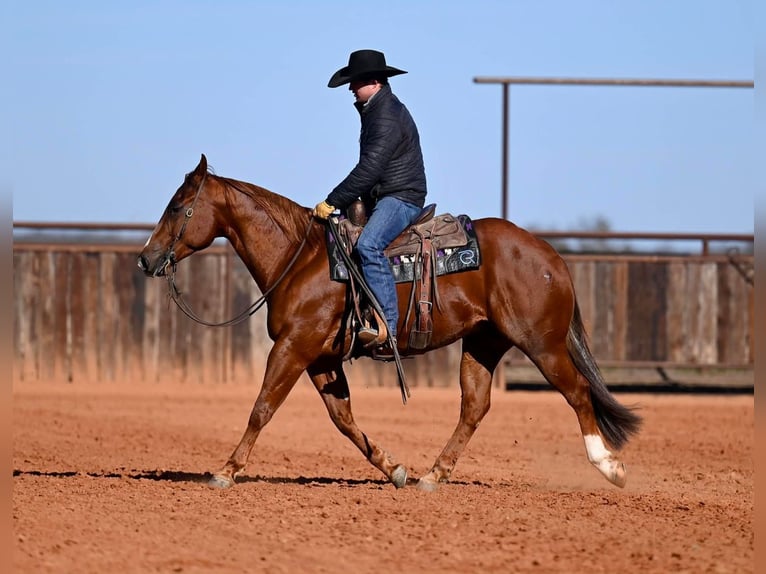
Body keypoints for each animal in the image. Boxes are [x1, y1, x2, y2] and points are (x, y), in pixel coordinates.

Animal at [138, 154, 641, 491]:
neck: (301, 257)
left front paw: (225, 471)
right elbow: (343, 418)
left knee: (577, 392)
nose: (146, 258)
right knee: (474, 407)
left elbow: (262, 406)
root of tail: (551, 256)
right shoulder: (320, 357)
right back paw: (433, 475)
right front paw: (394, 468)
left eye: (178, 206)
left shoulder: (294, 346)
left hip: (542, 344)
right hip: (484, 343)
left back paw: (610, 467)